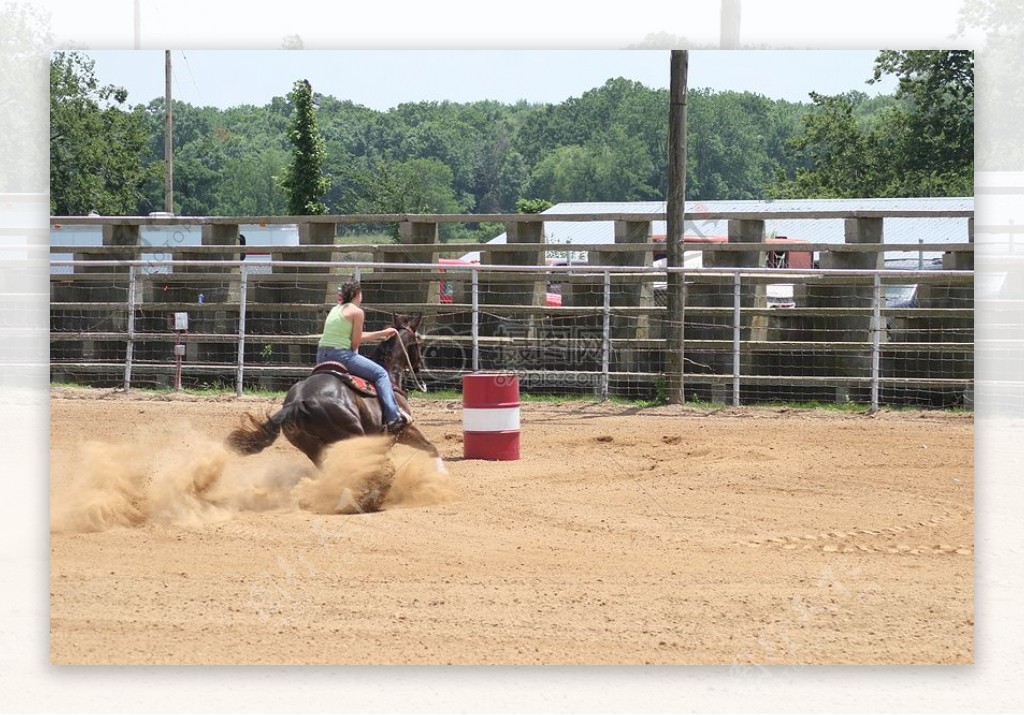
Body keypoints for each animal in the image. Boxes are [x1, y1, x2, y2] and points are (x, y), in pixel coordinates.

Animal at [228, 311, 444, 506]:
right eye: (419, 341)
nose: (420, 366)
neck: (389, 375)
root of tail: (297, 402)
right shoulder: (406, 429)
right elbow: (431, 448)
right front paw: (443, 478)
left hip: (313, 448)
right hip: (352, 436)